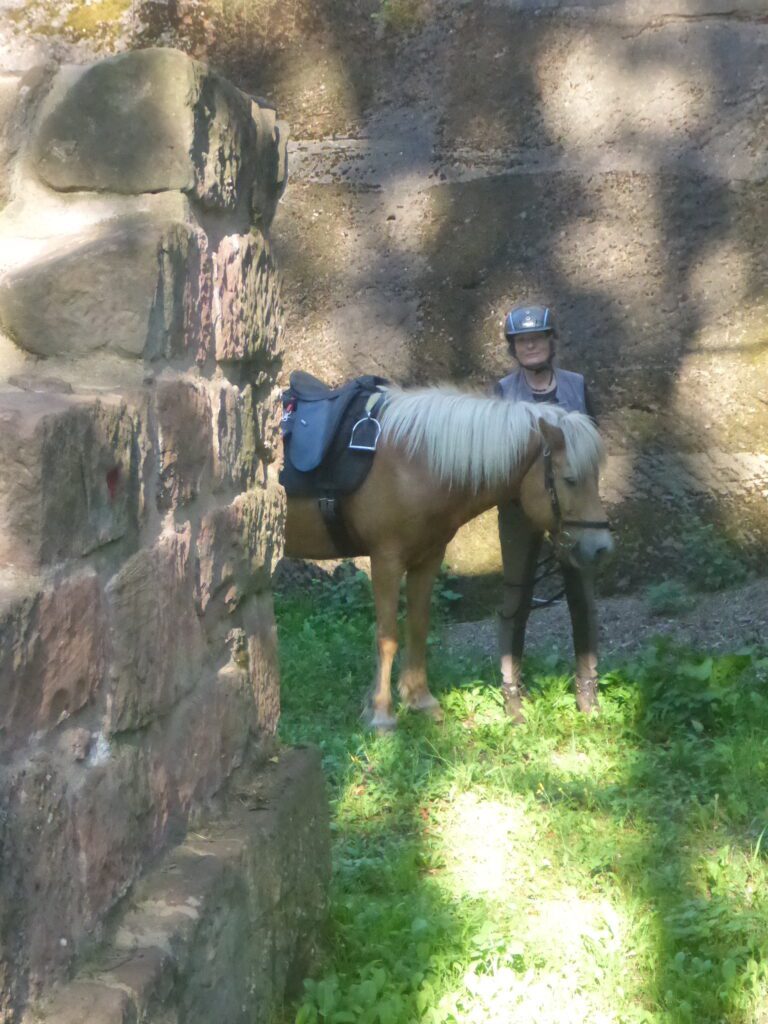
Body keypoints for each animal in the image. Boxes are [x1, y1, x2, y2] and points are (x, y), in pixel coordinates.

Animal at [283, 385, 612, 730]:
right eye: (570, 479)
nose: (601, 547)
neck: (414, 462)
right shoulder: (386, 560)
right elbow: (387, 637)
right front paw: (382, 714)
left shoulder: (428, 559)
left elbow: (418, 626)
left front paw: (420, 700)